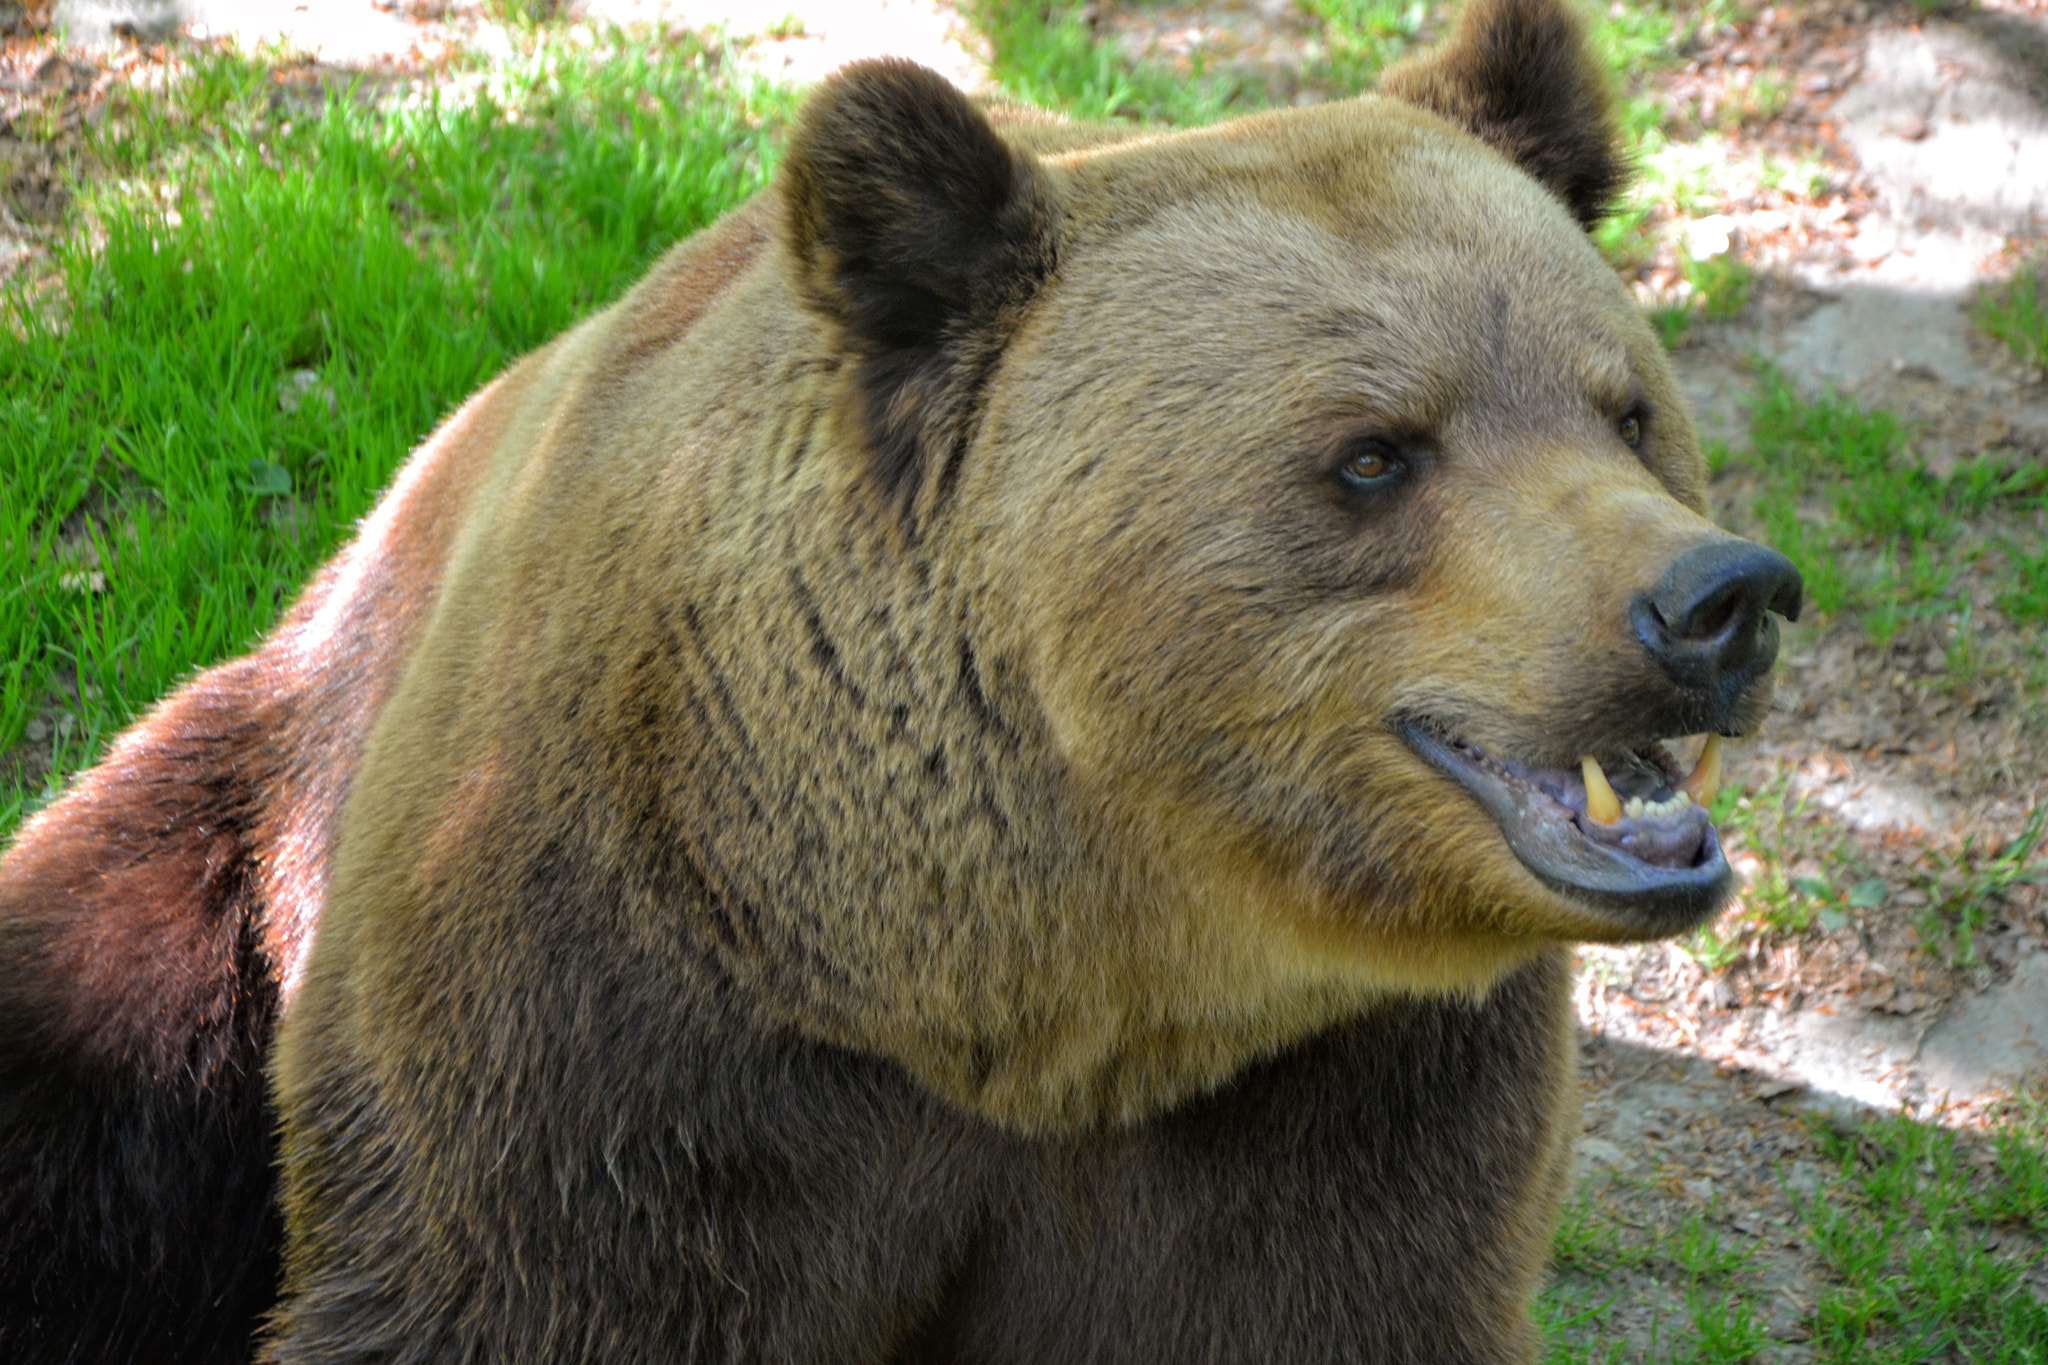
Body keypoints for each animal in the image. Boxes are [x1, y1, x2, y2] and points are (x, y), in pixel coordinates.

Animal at [0, 0, 1804, 1358]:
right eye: (1374, 453)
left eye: (1623, 406)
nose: (1716, 601)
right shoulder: (609, 1028)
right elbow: (493, 1291)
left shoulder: (1341, 1102)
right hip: (236, 818)